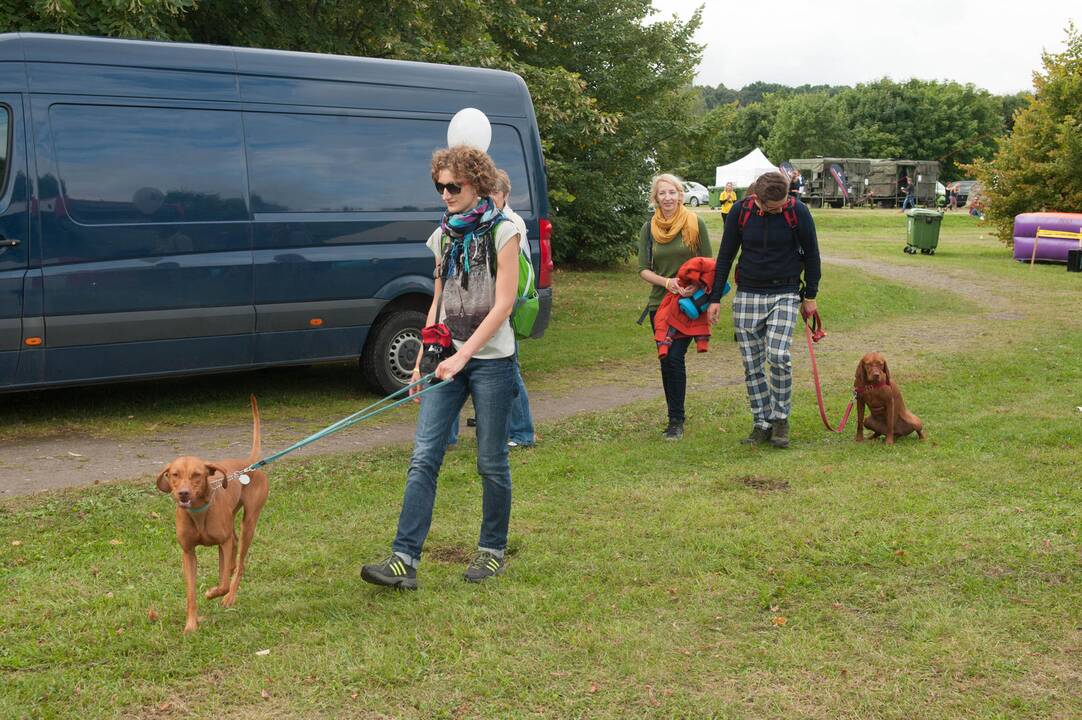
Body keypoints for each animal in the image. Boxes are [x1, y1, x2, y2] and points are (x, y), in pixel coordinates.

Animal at [154, 396, 268, 632]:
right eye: (174, 474)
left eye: (197, 475)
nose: (183, 493)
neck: (198, 513)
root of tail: (249, 462)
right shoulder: (188, 552)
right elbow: (190, 593)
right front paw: (191, 625)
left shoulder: (222, 543)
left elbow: (222, 583)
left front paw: (212, 593)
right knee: (233, 554)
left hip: (249, 523)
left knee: (239, 564)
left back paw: (230, 596)